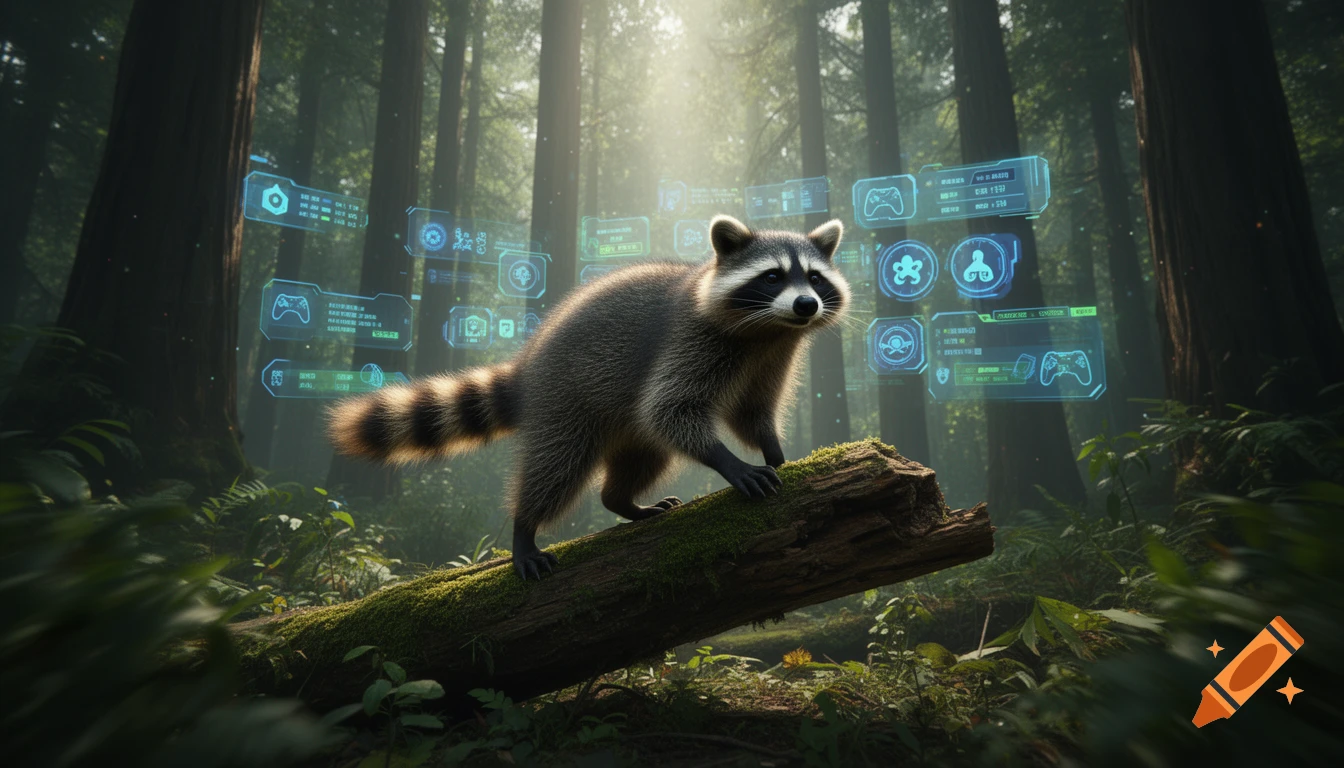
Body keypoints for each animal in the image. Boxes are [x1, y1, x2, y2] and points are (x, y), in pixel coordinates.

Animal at [327, 214, 851, 579]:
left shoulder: (772, 358)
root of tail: (529, 365)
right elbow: (668, 409)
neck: (769, 330)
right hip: (565, 399)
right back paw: (525, 526)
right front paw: (731, 462)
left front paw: (772, 448)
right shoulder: (691, 339)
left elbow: (750, 411)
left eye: (815, 278)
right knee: (557, 467)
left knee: (644, 457)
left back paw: (623, 500)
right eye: (773, 277)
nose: (806, 305)